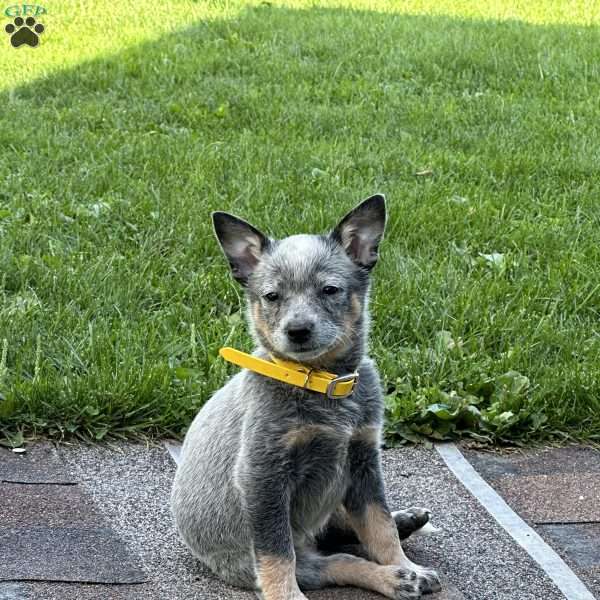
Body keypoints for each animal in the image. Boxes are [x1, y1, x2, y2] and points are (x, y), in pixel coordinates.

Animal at [169, 195, 440, 596]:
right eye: (272, 296)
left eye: (329, 290)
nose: (297, 330)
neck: (320, 386)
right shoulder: (263, 476)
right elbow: (277, 554)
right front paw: (286, 595)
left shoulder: (363, 457)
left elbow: (379, 525)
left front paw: (405, 562)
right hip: (290, 555)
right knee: (336, 561)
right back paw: (392, 578)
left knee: (346, 526)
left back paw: (405, 528)